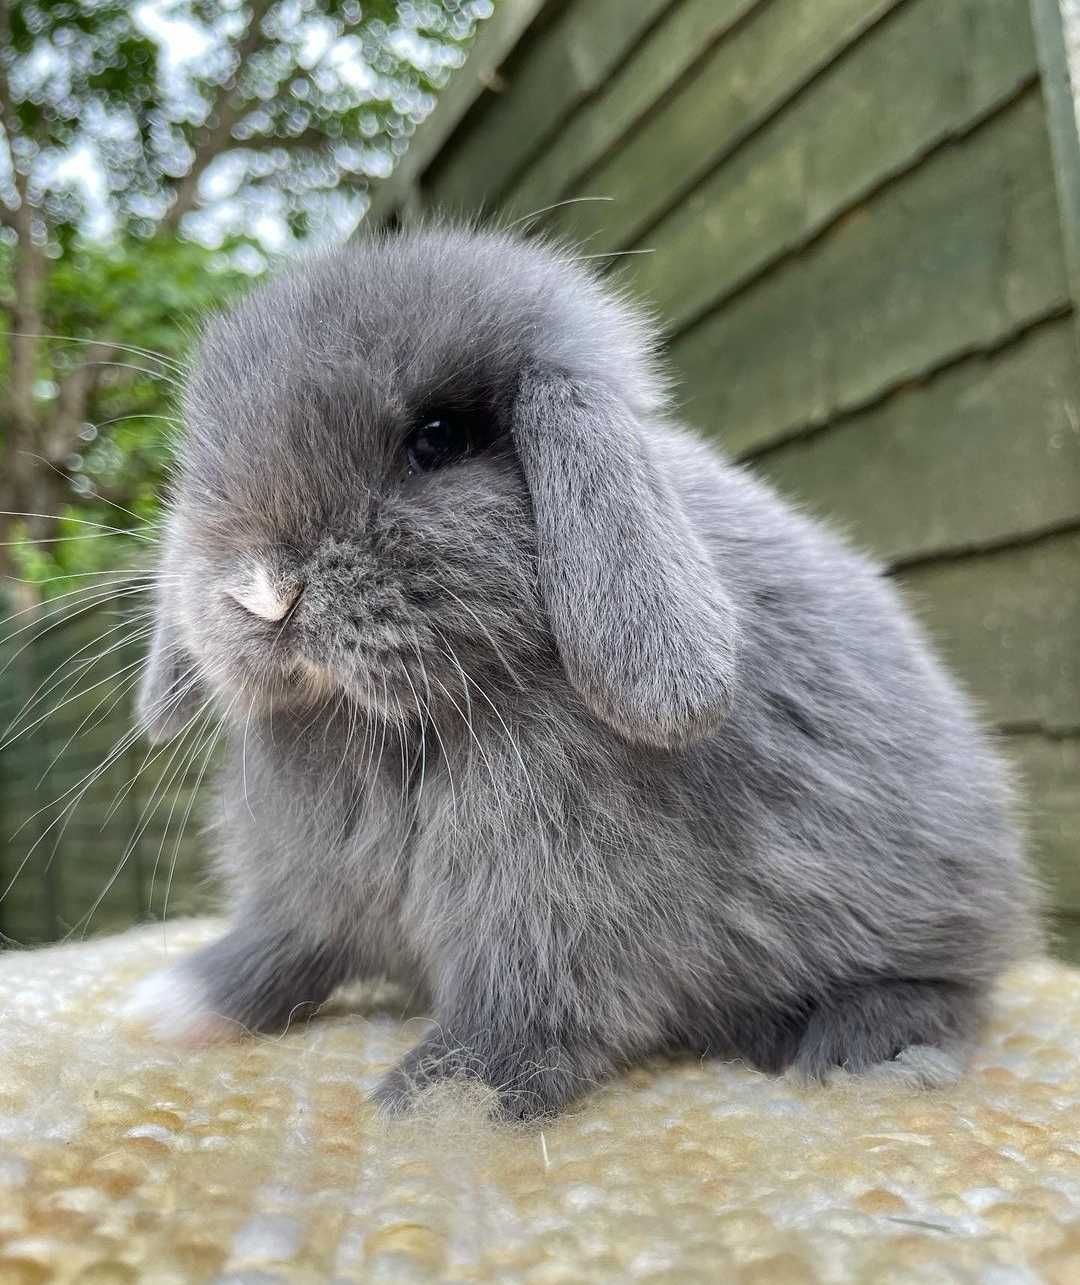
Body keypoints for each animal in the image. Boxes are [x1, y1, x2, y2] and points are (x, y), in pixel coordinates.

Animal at [126, 226, 1038, 1120]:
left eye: (437, 438)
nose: (262, 591)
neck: (391, 729)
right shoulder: (306, 894)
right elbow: (281, 948)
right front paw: (178, 1005)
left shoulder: (555, 910)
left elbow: (525, 1012)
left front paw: (443, 1102)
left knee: (950, 988)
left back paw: (867, 1054)